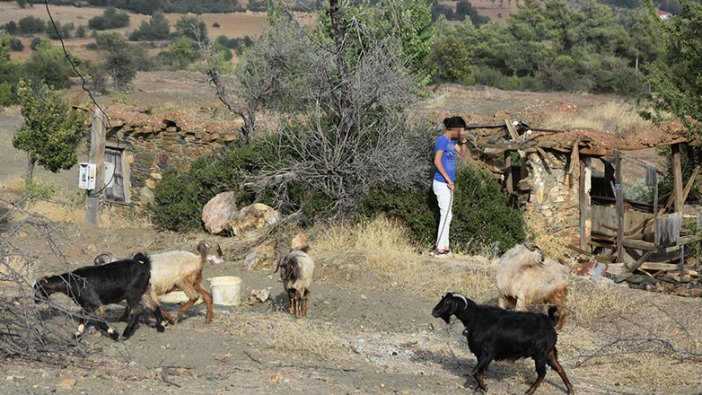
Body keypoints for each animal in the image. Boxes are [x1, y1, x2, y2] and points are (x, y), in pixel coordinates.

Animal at [34, 255, 166, 342]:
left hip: (132, 294)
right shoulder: (86, 306)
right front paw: (76, 336)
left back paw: (125, 334)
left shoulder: (96, 304)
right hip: (142, 293)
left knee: (137, 310)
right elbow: (82, 319)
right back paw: (161, 326)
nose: (35, 300)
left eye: (38, 289)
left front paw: (114, 334)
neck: (71, 281)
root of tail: (145, 267)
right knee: (154, 305)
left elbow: (99, 321)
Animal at [432, 292, 576, 394]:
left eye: (448, 301)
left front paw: (484, 388)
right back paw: (570, 390)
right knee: (559, 369)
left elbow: (475, 372)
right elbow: (480, 372)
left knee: (542, 373)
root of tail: (550, 322)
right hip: (549, 353)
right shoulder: (480, 354)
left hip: (540, 354)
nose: (434, 312)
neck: (475, 317)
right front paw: (480, 388)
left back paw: (529, 392)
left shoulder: (487, 353)